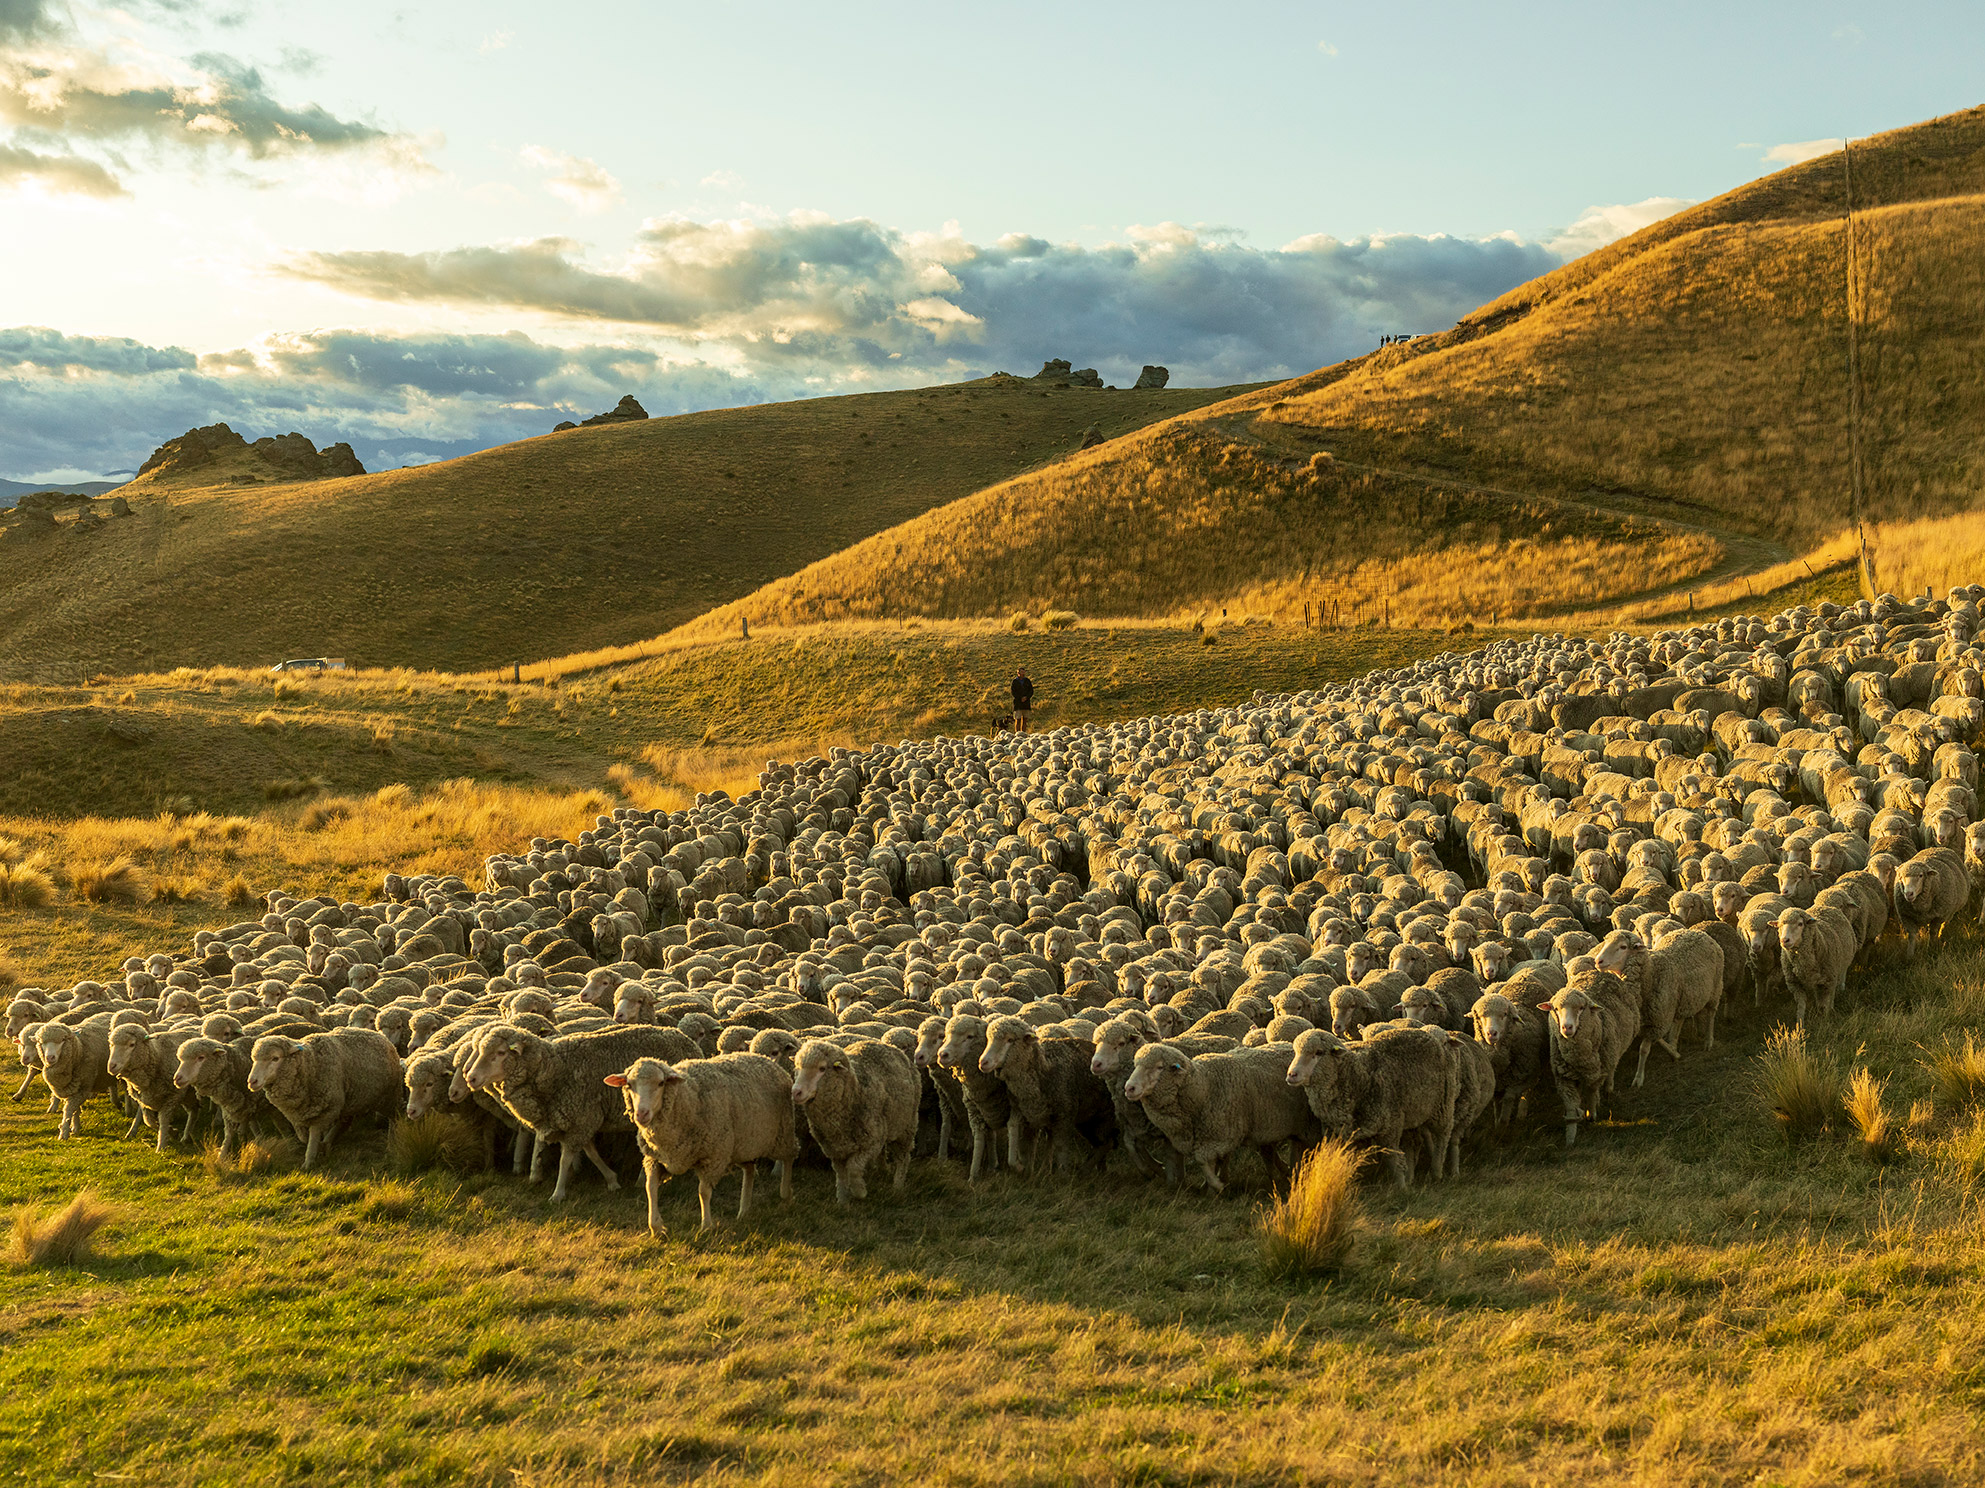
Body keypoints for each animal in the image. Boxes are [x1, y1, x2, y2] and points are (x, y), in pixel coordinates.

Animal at [247, 1027, 403, 1169]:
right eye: (254, 1059)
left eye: (275, 1058)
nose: (252, 1081)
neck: (310, 1064)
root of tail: (380, 1035)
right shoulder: (297, 1115)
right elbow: (303, 1138)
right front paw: (319, 1147)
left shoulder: (324, 1111)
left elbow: (313, 1135)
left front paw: (309, 1161)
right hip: (349, 1100)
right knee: (344, 1121)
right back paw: (328, 1142)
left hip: (389, 1096)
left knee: (394, 1117)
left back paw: (391, 1143)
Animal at [605, 1053, 800, 1233]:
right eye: (629, 1085)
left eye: (661, 1083)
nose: (641, 1114)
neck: (686, 1099)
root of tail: (767, 1059)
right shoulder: (654, 1158)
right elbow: (650, 1187)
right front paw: (656, 1227)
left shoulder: (713, 1158)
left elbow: (703, 1192)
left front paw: (706, 1226)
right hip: (743, 1144)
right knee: (750, 1170)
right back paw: (744, 1211)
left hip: (782, 1133)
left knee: (790, 1157)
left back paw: (786, 1194)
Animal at [788, 1038, 920, 1203]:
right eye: (797, 1067)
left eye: (822, 1069)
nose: (796, 1092)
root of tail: (893, 1048)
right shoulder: (834, 1149)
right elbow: (841, 1175)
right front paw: (843, 1200)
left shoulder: (870, 1144)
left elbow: (853, 1169)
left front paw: (859, 1191)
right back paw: (883, 1170)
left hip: (906, 1126)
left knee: (903, 1157)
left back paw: (898, 1186)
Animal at [1124, 1042, 1317, 1193]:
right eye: (1135, 1065)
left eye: (1159, 1067)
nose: (1129, 1088)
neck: (1203, 1086)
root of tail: (1288, 1044)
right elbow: (1211, 1161)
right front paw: (1213, 1186)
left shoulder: (1219, 1135)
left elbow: (1202, 1160)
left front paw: (1217, 1185)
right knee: (1272, 1150)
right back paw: (1284, 1171)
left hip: (1304, 1124)